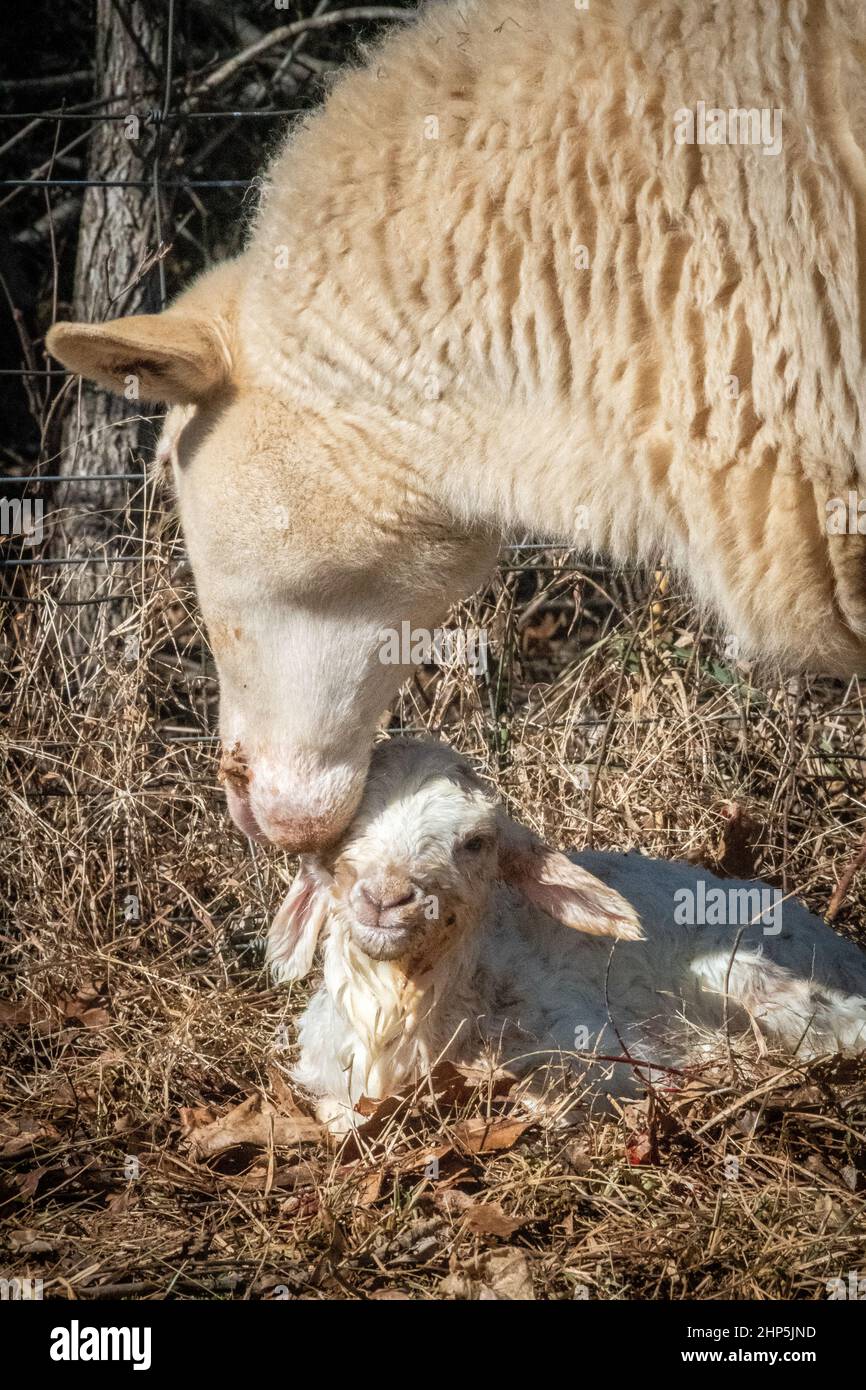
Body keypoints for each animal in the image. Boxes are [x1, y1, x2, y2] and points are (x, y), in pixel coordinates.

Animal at [268, 739, 866, 1131]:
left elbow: (550, 1098)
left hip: (745, 973)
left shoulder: (593, 1045)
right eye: (347, 831)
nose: (385, 898)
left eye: (476, 842)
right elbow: (335, 1114)